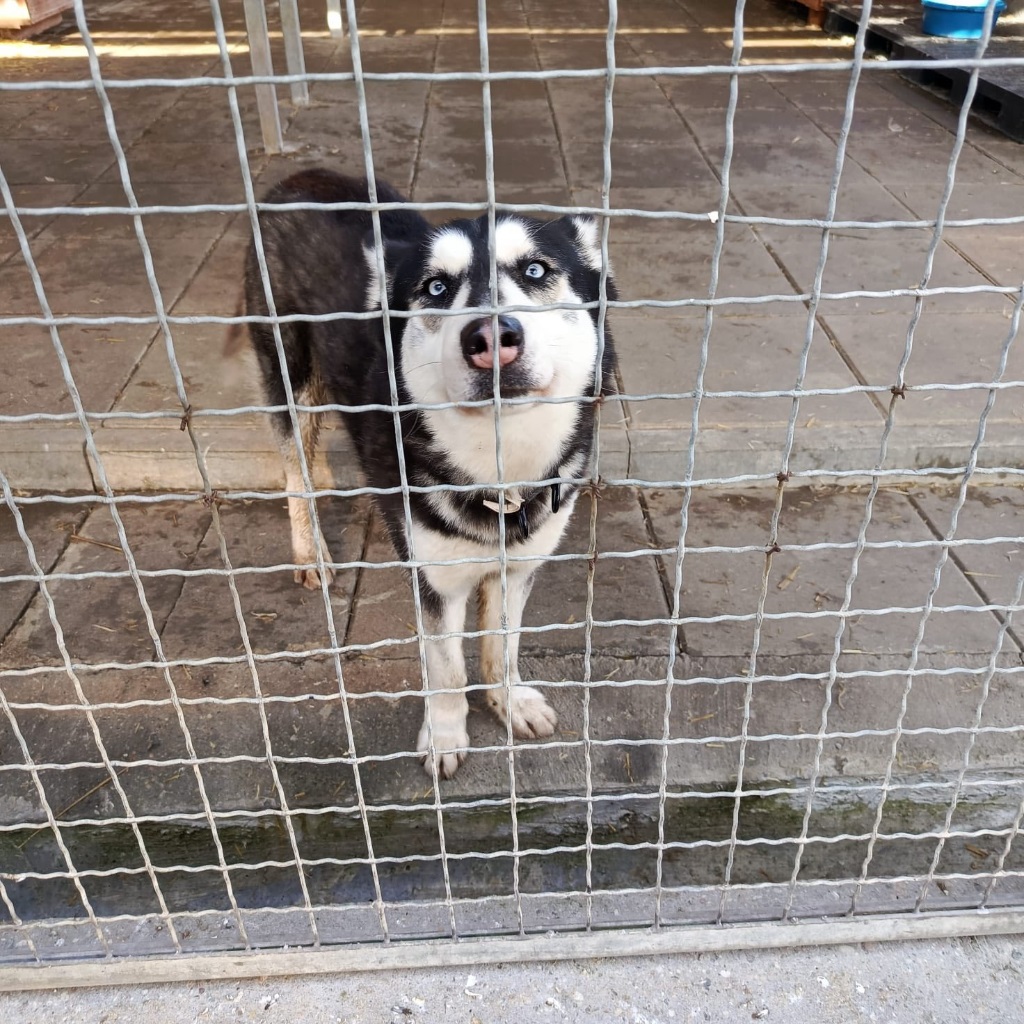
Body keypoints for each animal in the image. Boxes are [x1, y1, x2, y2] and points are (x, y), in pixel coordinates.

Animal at [234, 168, 617, 778]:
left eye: (536, 270)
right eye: (436, 288)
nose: (490, 338)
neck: (498, 466)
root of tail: (302, 175)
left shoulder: (520, 565)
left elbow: (502, 647)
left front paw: (508, 702)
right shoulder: (436, 581)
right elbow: (447, 668)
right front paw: (445, 734)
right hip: (289, 372)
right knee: (294, 465)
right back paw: (310, 549)